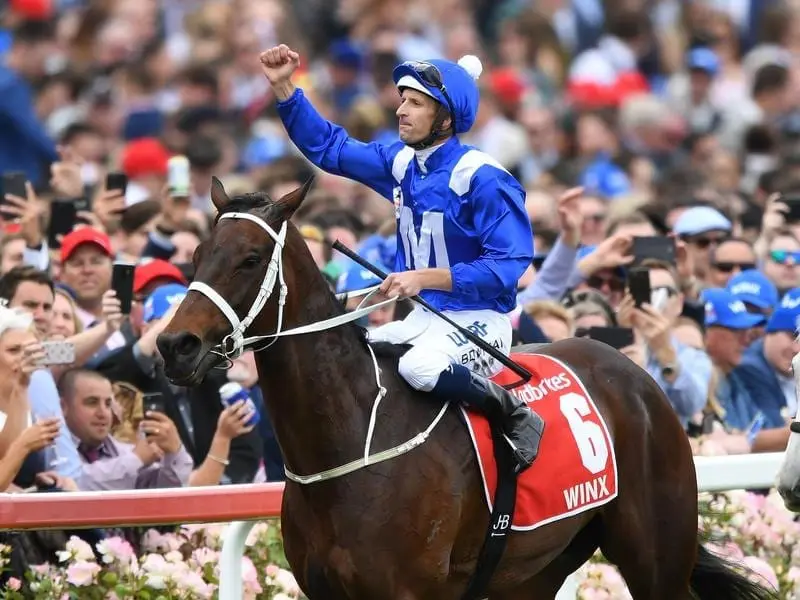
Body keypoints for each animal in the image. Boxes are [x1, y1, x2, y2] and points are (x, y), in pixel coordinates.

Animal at [155, 178, 776, 600]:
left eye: (250, 258)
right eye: (196, 256)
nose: (174, 345)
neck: (348, 440)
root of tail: (636, 375)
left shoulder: (408, 593)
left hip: (655, 557)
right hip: (530, 573)